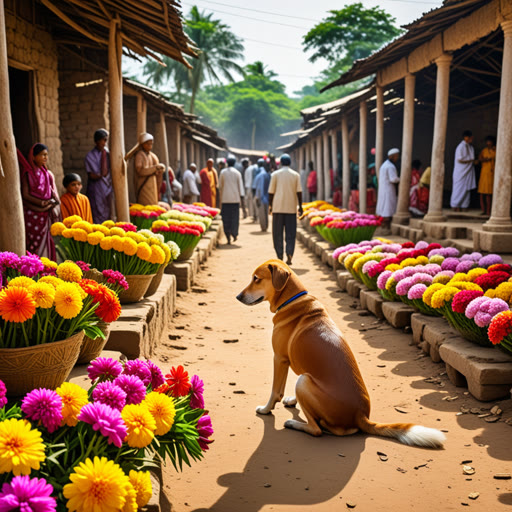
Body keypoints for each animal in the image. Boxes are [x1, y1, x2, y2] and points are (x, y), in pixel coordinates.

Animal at [238, 260, 446, 448]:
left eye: (256, 279)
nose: (238, 296)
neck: (293, 300)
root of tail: (361, 416)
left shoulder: (279, 359)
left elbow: (275, 391)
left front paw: (266, 409)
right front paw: (292, 400)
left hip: (304, 380)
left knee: (317, 430)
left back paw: (295, 424)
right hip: (306, 380)